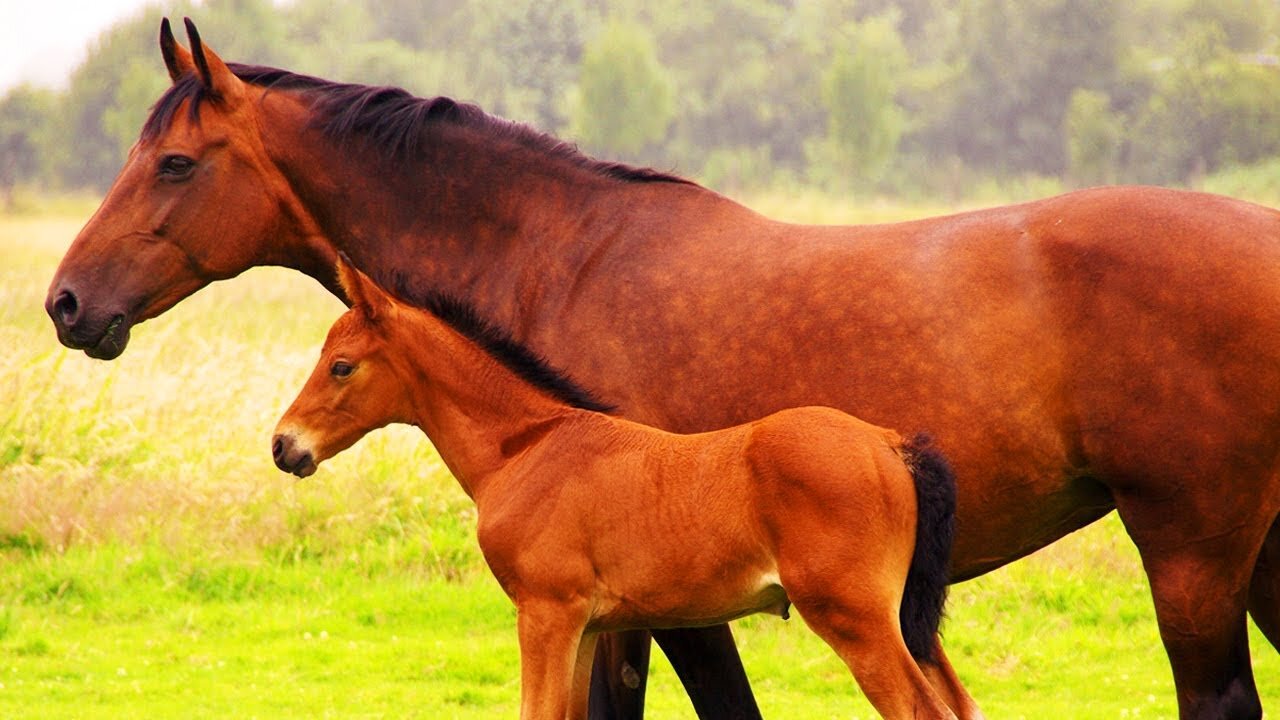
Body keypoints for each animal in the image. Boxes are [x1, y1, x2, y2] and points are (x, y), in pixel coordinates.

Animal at [275, 257, 962, 717]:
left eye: (342, 366)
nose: (285, 446)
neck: (527, 446)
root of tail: (890, 444)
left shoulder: (546, 614)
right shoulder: (585, 627)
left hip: (857, 620)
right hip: (903, 622)